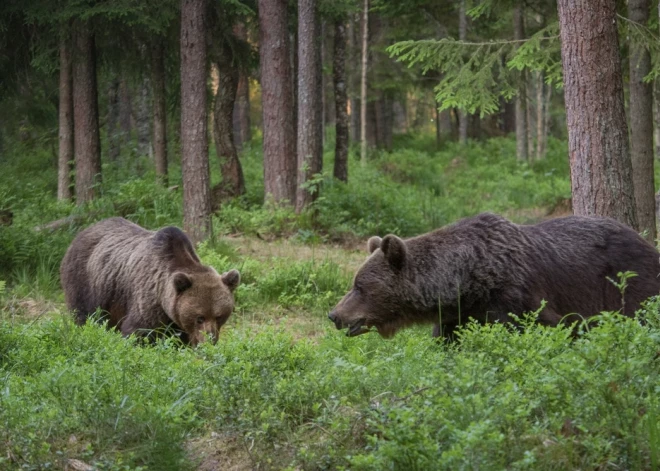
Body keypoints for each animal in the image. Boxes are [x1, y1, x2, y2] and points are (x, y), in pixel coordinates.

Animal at [60, 218, 241, 346]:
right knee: (84, 315)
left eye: (219, 316)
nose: (210, 339)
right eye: (200, 317)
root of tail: (83, 232)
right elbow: (138, 331)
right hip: (86, 281)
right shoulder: (148, 297)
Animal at [328, 213, 660, 340]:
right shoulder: (456, 316)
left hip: (627, 282)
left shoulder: (515, 297)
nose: (334, 314)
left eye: (359, 286)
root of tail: (646, 241)